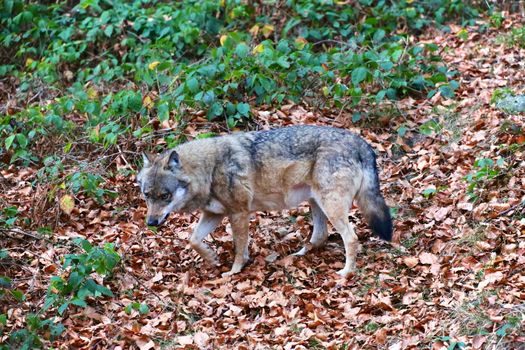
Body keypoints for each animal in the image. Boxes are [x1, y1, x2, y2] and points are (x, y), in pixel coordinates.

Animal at [137, 125, 390, 276]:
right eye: (147, 195)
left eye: (165, 196)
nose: (151, 223)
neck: (208, 170)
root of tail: (362, 143)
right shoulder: (214, 214)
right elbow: (193, 241)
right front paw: (212, 258)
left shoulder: (239, 213)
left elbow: (239, 248)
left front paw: (234, 271)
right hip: (316, 203)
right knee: (320, 236)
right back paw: (297, 255)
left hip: (331, 206)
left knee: (352, 239)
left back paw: (346, 273)